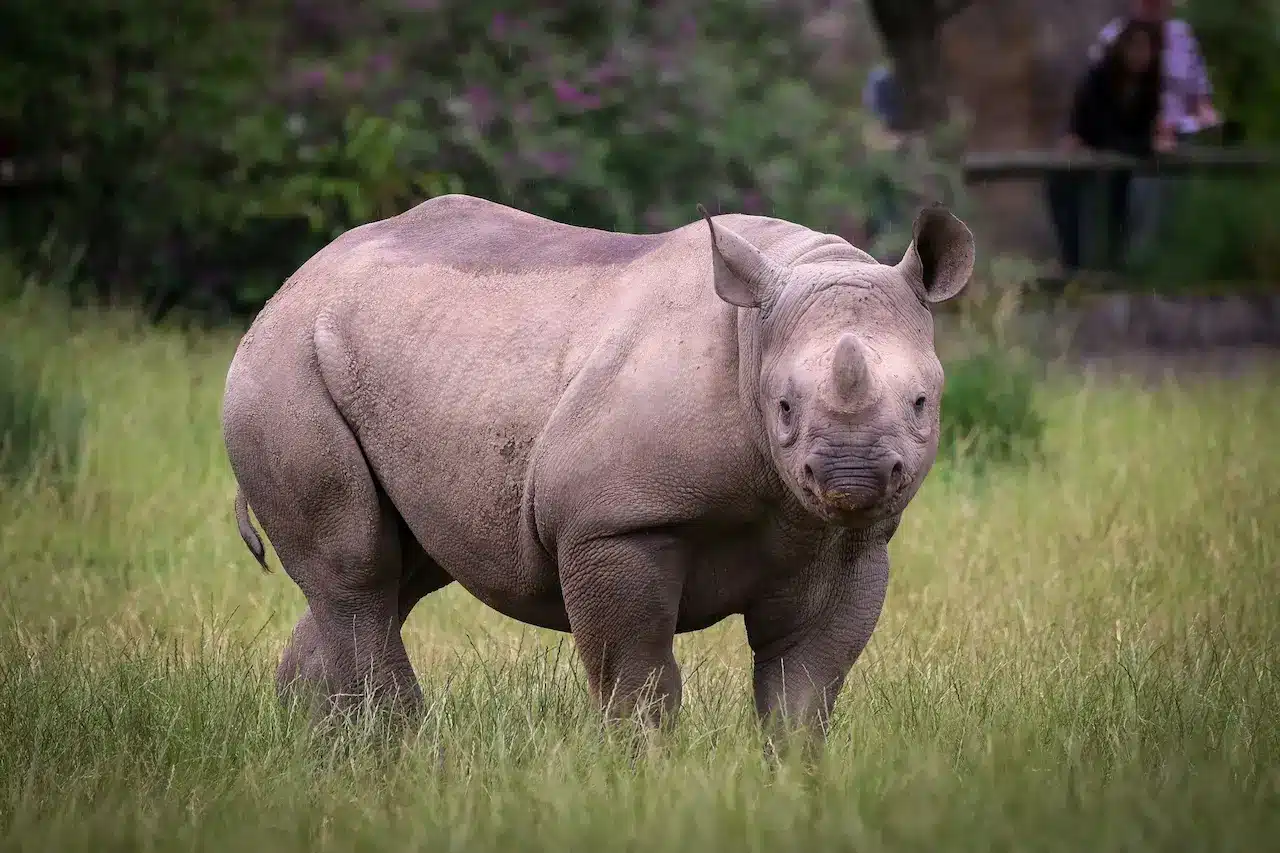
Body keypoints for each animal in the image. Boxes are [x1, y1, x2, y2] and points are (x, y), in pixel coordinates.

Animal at [221, 194, 975, 747]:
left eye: (921, 402)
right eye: (783, 406)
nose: (854, 481)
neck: (753, 339)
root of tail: (296, 281)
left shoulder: (849, 542)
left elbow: (805, 682)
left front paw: (793, 778)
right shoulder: (613, 524)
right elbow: (637, 675)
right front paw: (646, 770)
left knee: (399, 570)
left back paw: (318, 744)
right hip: (282, 367)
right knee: (359, 569)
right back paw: (401, 747)